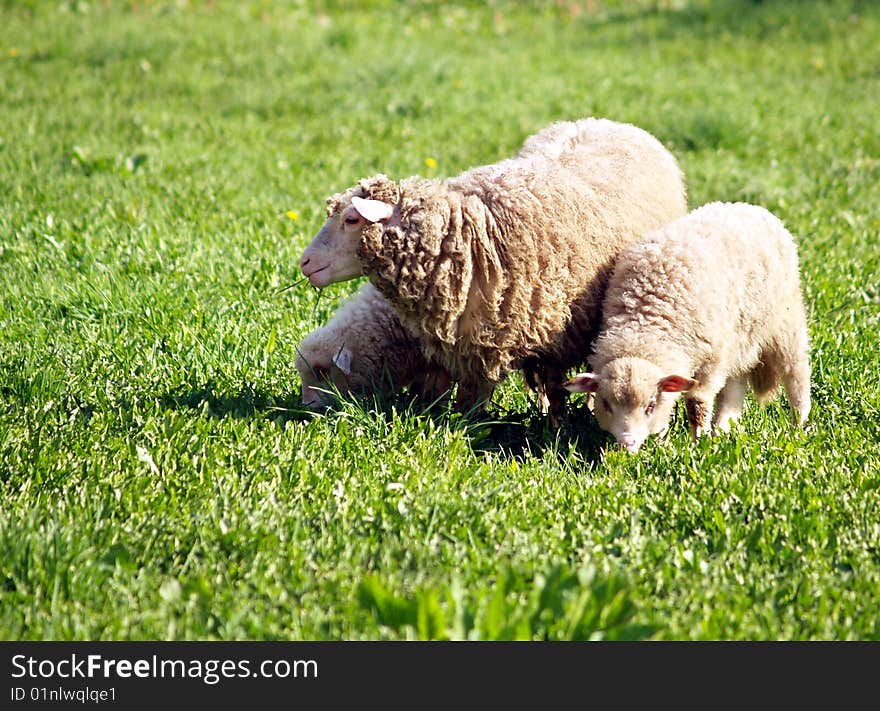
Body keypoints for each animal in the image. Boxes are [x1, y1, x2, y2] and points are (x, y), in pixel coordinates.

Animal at [300, 117, 692, 418]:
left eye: (351, 219)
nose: (304, 262)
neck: (468, 234)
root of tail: (606, 121)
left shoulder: (545, 337)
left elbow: (528, 390)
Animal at [564, 203, 812, 454]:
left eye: (650, 405)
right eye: (606, 404)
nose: (627, 444)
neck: (645, 322)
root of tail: (751, 208)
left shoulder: (711, 362)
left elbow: (697, 405)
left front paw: (697, 444)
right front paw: (663, 440)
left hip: (785, 322)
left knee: (796, 372)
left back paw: (798, 425)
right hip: (738, 339)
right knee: (734, 388)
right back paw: (723, 429)